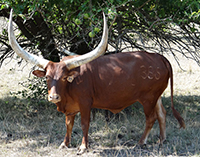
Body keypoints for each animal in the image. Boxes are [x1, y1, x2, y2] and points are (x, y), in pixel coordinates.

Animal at [8, 9, 186, 155]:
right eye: (47, 77)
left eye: (65, 77)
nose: (53, 97)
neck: (69, 88)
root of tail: (160, 57)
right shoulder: (70, 108)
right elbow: (68, 124)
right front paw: (65, 144)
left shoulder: (85, 102)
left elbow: (84, 123)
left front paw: (83, 147)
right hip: (157, 96)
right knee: (162, 113)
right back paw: (162, 140)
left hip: (148, 98)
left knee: (151, 118)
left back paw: (141, 142)